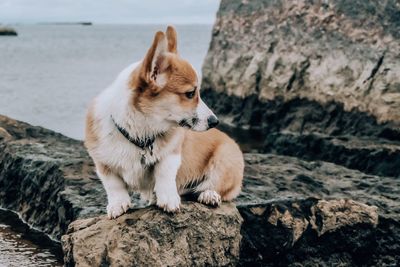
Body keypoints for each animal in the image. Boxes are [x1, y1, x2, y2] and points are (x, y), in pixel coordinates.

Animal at [84, 25, 244, 220]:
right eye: (190, 93)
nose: (215, 121)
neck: (140, 132)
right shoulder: (103, 163)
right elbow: (114, 185)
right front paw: (117, 205)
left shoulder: (172, 152)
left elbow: (164, 172)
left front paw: (168, 199)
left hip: (224, 161)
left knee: (215, 187)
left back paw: (208, 194)